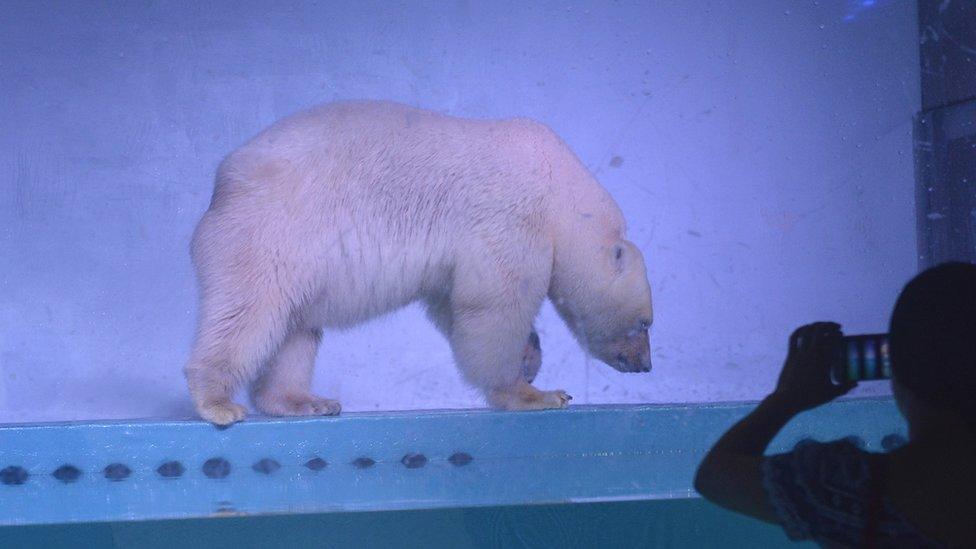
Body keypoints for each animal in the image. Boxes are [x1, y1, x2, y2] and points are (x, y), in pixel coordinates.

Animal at [185, 100, 656, 424]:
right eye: (644, 322)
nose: (645, 365)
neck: (558, 185)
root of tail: (222, 186)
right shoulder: (510, 217)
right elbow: (494, 306)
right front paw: (536, 394)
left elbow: (453, 304)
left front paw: (531, 357)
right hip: (271, 235)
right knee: (249, 314)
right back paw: (218, 402)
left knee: (295, 331)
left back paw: (305, 401)